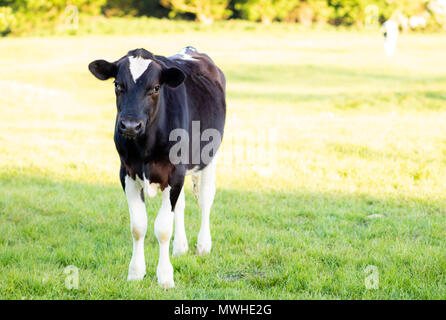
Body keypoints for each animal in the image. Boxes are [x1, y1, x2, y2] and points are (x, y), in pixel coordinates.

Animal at [88, 46, 225, 288]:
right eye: (117, 85)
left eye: (155, 88)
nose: (130, 125)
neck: (146, 147)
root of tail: (191, 49)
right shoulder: (127, 173)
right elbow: (138, 226)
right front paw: (135, 272)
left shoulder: (175, 173)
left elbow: (162, 228)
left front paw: (165, 277)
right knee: (181, 205)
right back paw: (180, 247)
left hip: (209, 156)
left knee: (206, 198)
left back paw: (203, 245)